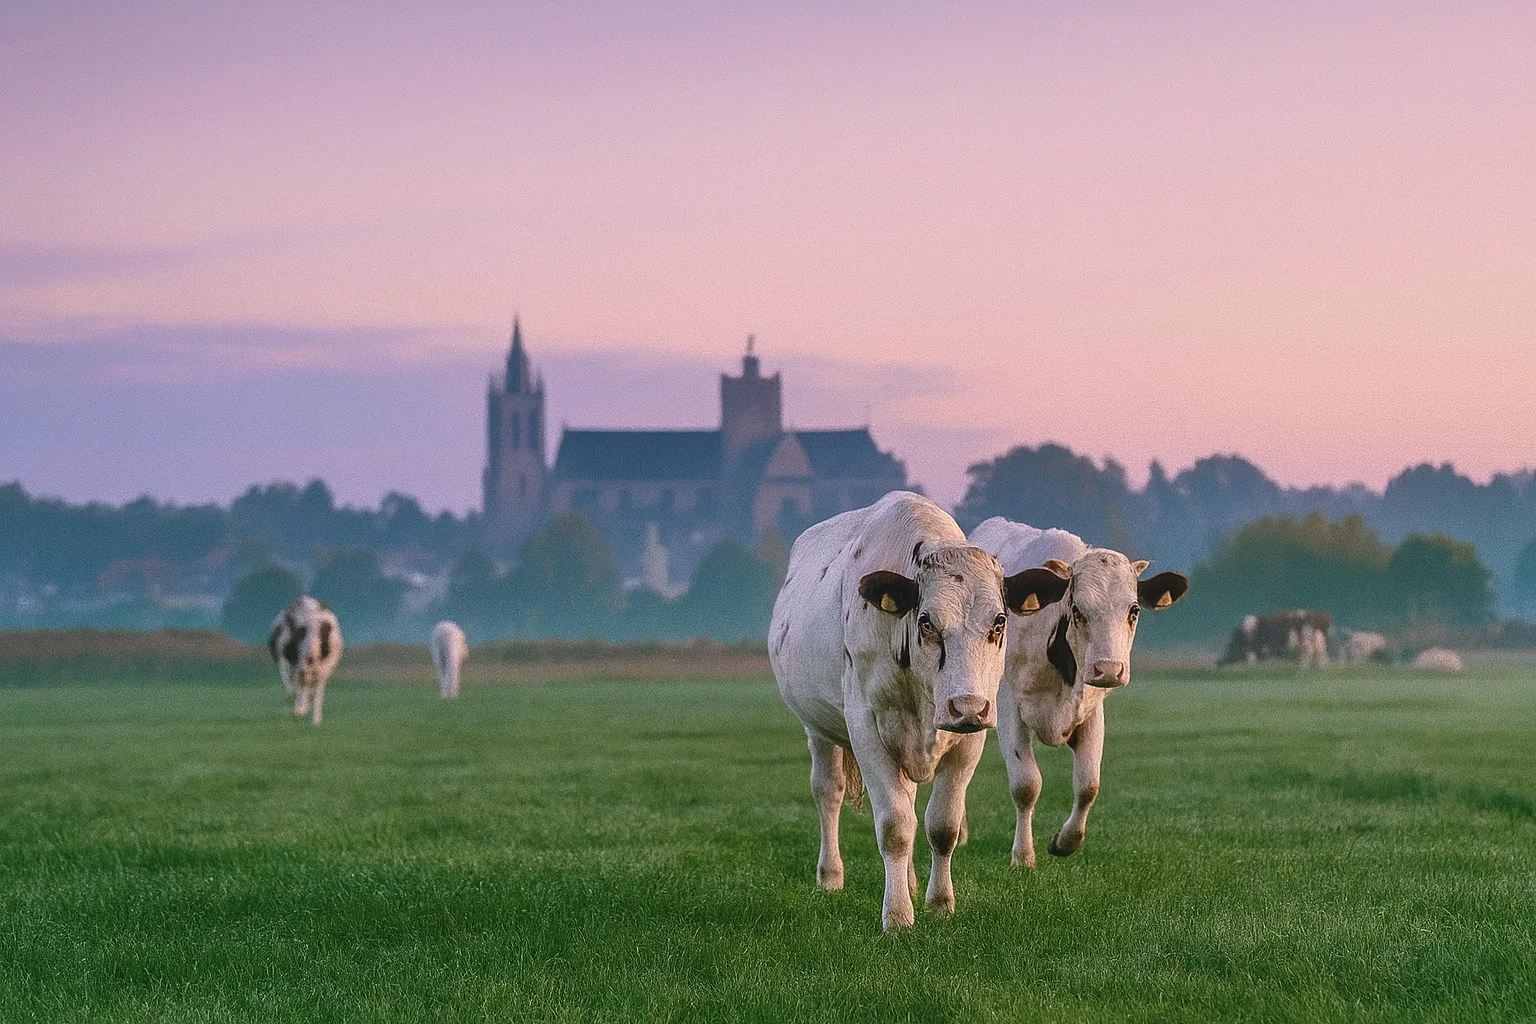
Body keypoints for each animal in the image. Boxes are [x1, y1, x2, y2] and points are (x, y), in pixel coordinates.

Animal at [267, 596, 343, 725]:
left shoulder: (287, 661)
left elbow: (294, 685)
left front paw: (300, 709)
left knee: (303, 682)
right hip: (317, 664)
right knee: (311, 684)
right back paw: (312, 716)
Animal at [770, 491, 1036, 930]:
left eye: (999, 621)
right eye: (926, 621)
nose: (965, 706)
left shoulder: (972, 737)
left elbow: (941, 825)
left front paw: (939, 902)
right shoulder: (866, 727)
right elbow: (894, 826)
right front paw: (896, 915)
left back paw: (909, 880)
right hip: (818, 730)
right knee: (828, 792)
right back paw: (830, 876)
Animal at [968, 518, 1189, 869]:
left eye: (1134, 610)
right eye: (1077, 610)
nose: (1109, 669)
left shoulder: (1091, 711)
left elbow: (1088, 784)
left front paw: (1064, 841)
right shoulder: (1008, 706)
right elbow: (1026, 784)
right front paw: (1023, 856)